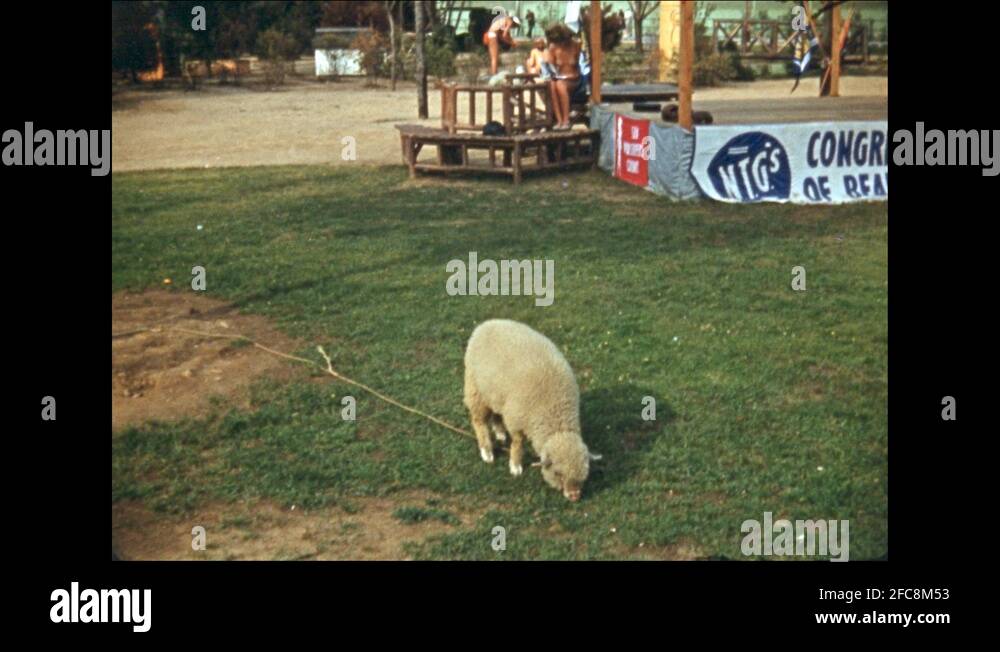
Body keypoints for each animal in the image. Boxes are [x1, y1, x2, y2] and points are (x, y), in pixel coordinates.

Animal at [463, 319, 600, 501]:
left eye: (584, 475)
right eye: (558, 473)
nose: (574, 496)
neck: (554, 416)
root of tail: (487, 323)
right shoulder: (517, 418)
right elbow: (518, 443)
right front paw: (515, 466)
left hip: (496, 394)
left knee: (497, 415)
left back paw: (500, 433)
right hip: (475, 388)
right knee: (479, 421)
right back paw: (487, 451)